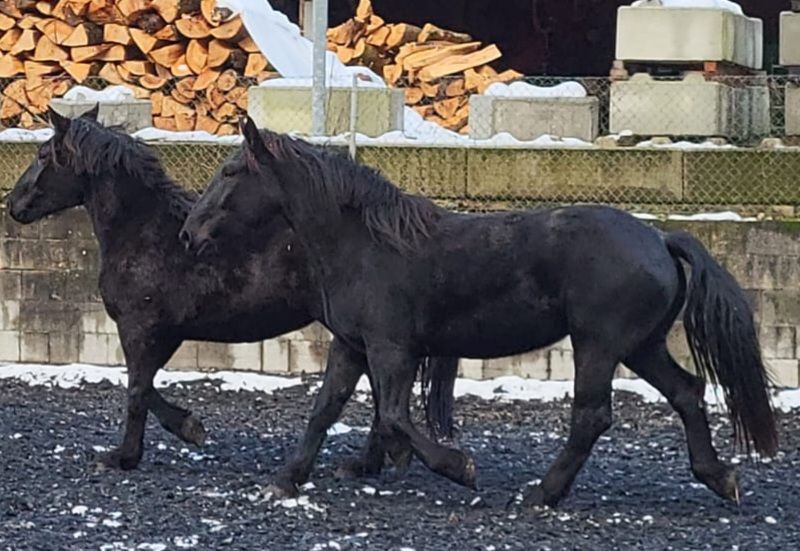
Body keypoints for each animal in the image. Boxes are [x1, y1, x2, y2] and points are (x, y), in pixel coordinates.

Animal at [3, 109, 459, 495]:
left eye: (43, 154)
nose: (14, 204)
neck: (146, 232)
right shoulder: (162, 334)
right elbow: (144, 387)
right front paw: (187, 428)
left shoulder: (141, 329)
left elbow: (137, 390)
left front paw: (127, 455)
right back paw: (373, 462)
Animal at [181, 116, 778, 507]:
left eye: (231, 172)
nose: (189, 234)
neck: (366, 244)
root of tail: (658, 238)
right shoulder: (353, 346)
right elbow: (324, 410)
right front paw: (287, 478)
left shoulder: (393, 347)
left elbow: (394, 415)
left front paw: (459, 468)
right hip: (641, 346)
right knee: (687, 393)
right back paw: (719, 477)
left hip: (600, 345)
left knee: (592, 415)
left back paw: (542, 494)